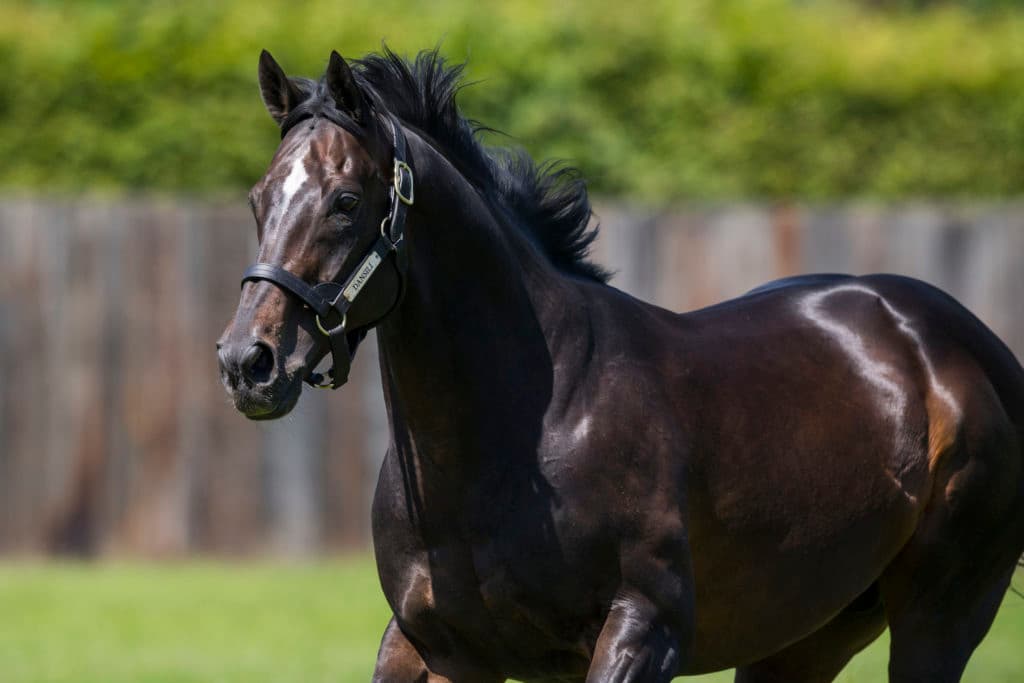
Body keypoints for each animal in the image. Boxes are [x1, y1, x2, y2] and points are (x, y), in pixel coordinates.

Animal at [216, 45, 1024, 679]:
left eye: (347, 200)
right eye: (259, 199)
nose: (248, 362)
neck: (523, 436)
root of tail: (961, 344)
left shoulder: (643, 629)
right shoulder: (434, 646)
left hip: (938, 615)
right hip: (804, 635)